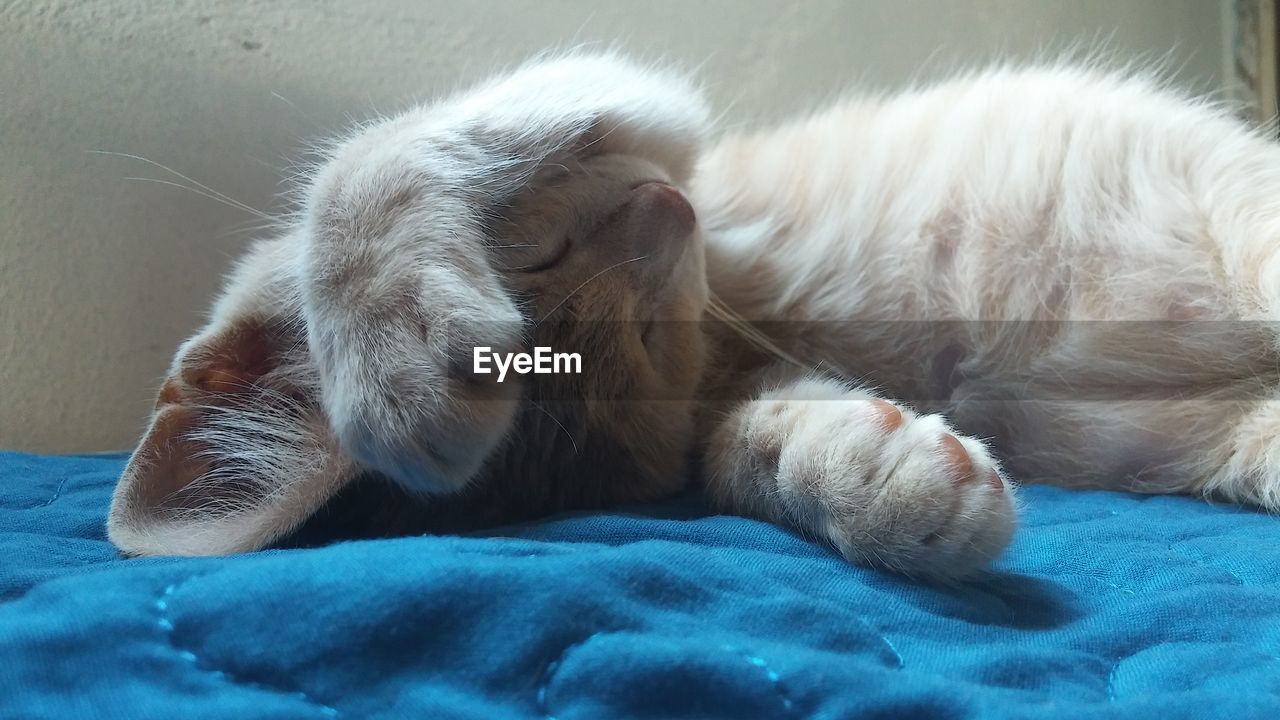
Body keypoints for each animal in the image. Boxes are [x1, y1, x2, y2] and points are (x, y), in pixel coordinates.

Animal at [107, 51, 1280, 576]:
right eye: (644, 342)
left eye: (528, 253)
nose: (662, 213)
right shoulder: (722, 401)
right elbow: (738, 454)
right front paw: (879, 476)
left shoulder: (617, 95)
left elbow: (370, 157)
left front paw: (393, 356)